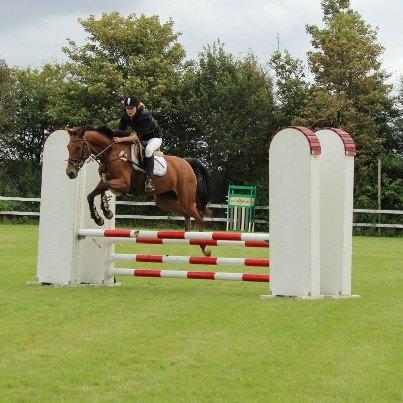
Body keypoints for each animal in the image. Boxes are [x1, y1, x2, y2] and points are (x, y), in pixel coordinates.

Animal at [64, 128, 213, 258]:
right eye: (68, 147)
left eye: (78, 148)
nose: (70, 173)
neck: (111, 153)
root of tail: (186, 163)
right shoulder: (106, 181)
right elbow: (92, 194)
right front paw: (100, 217)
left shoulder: (123, 184)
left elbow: (105, 186)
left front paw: (105, 211)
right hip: (165, 200)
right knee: (186, 213)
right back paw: (189, 235)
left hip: (185, 197)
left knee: (198, 216)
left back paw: (204, 248)